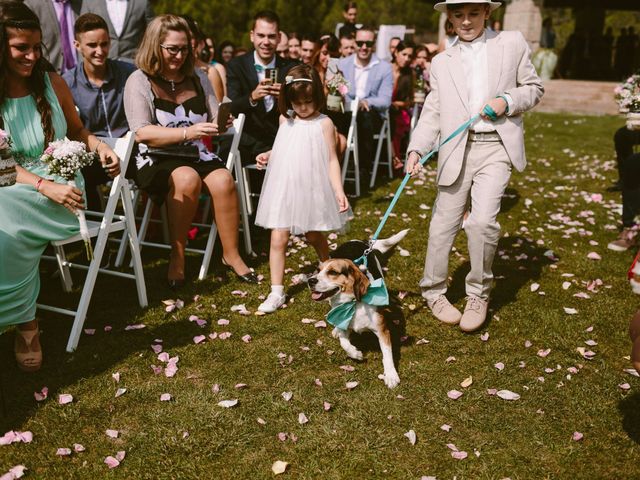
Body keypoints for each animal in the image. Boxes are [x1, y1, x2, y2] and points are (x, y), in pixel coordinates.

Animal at [308, 230, 408, 390]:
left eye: (333, 272)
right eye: (318, 270)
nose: (310, 281)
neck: (353, 303)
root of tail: (358, 241)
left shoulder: (382, 331)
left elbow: (387, 356)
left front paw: (391, 375)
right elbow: (344, 343)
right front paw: (356, 354)